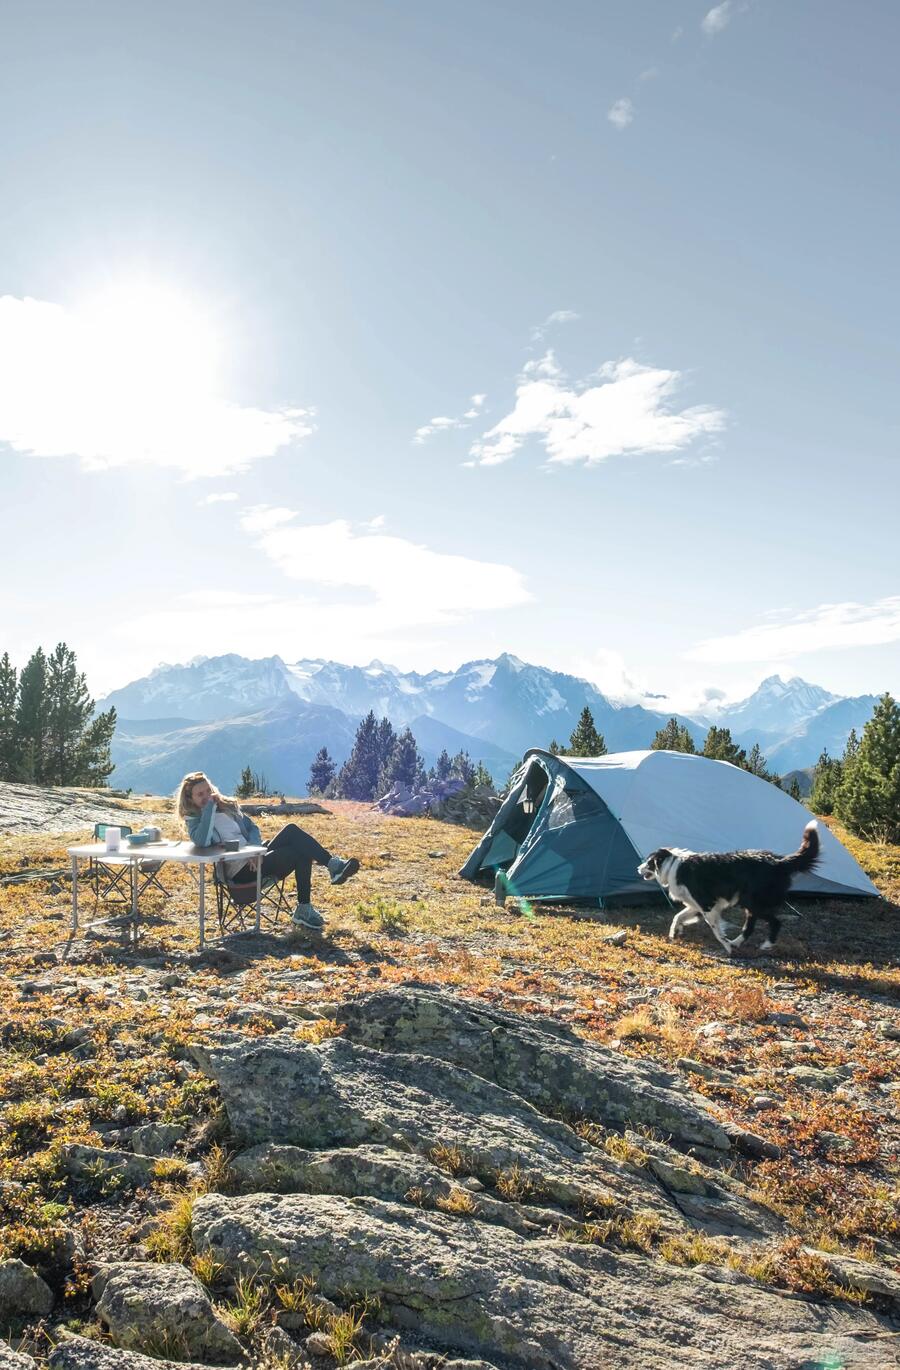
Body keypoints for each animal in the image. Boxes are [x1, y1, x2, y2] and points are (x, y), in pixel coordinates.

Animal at [635, 822, 816, 953]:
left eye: (648, 862)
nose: (637, 868)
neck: (672, 865)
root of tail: (780, 862)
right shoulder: (696, 904)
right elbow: (677, 917)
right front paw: (674, 932)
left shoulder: (707, 904)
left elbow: (716, 930)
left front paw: (726, 946)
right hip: (750, 903)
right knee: (749, 927)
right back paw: (737, 942)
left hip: (752, 901)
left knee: (775, 922)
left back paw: (764, 944)